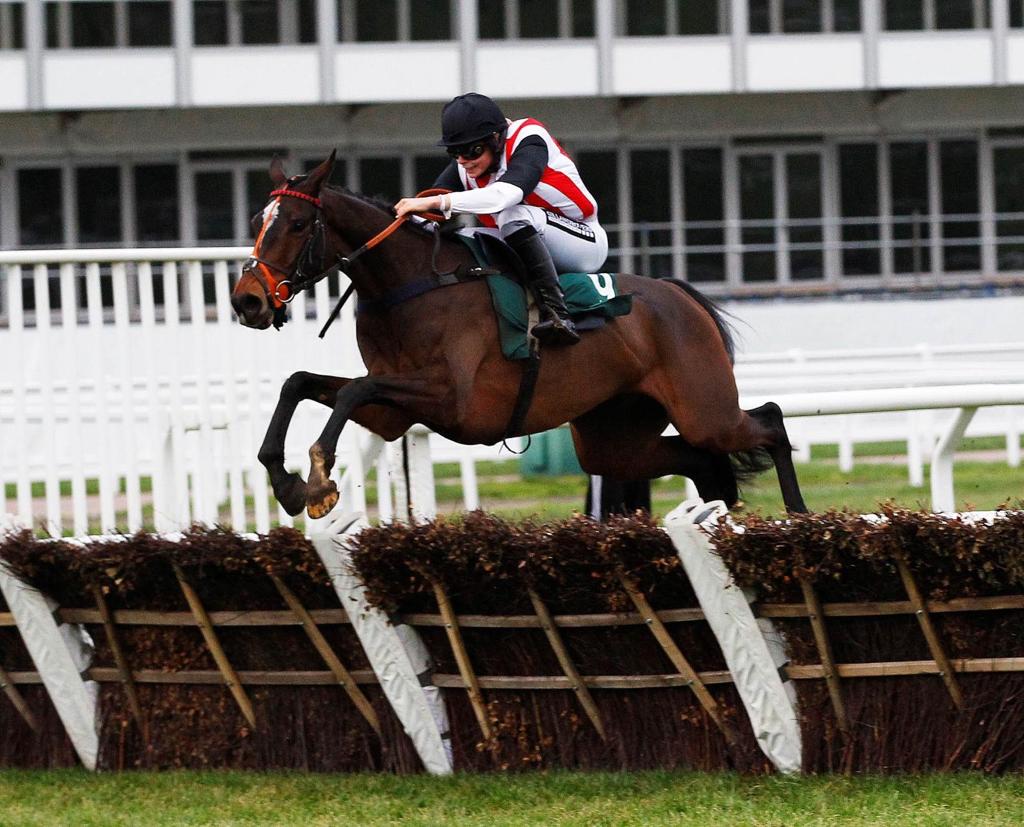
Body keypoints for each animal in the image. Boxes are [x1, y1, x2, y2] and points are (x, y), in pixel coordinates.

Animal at [230, 153, 806, 515]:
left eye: (298, 223)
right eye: (259, 219)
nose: (246, 300)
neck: (410, 284)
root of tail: (677, 294)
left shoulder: (455, 400)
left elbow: (353, 388)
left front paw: (318, 480)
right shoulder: (394, 414)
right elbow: (301, 383)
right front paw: (285, 481)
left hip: (705, 409)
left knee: (770, 421)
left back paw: (797, 516)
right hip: (615, 440)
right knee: (701, 461)